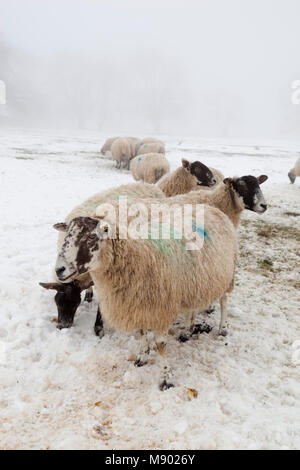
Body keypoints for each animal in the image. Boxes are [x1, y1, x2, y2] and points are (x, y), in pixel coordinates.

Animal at [39, 182, 165, 332]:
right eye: (57, 302)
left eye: (75, 303)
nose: (63, 326)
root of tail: (148, 185)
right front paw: (88, 295)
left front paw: (98, 327)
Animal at [53, 204, 237, 392]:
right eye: (67, 235)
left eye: (91, 237)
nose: (59, 269)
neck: (136, 256)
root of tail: (212, 208)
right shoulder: (137, 305)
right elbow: (141, 333)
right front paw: (142, 356)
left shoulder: (160, 310)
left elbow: (161, 345)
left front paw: (166, 378)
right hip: (194, 283)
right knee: (192, 307)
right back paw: (187, 330)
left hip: (226, 272)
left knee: (224, 300)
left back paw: (223, 328)